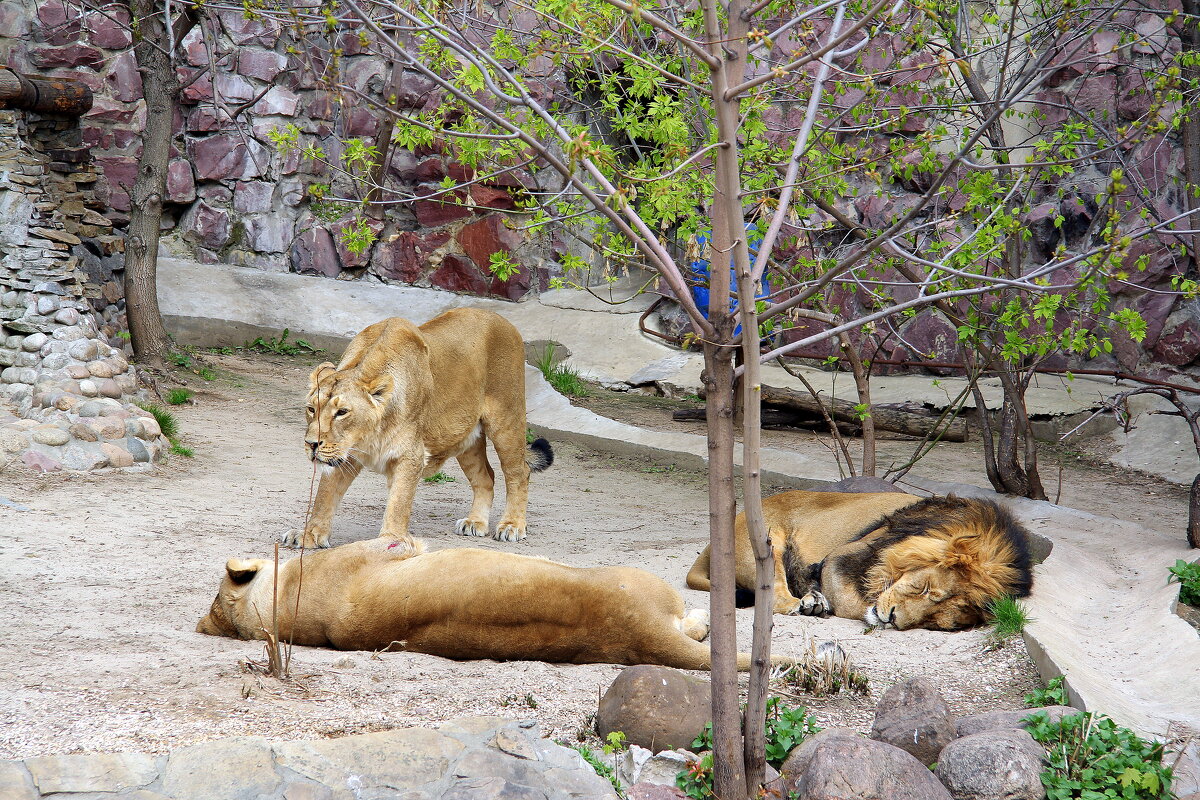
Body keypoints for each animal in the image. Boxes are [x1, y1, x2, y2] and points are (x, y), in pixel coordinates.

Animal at [285, 309, 552, 554]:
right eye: (311, 409)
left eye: (342, 412)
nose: (311, 444)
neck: (367, 436)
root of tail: (500, 318)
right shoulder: (344, 455)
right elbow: (324, 495)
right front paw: (310, 534)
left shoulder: (410, 455)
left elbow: (398, 502)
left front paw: (390, 540)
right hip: (465, 438)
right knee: (486, 477)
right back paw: (475, 522)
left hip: (506, 421)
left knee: (519, 473)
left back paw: (512, 525)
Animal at [691, 489, 1036, 633]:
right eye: (925, 588)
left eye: (937, 623)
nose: (892, 619)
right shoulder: (839, 558)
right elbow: (851, 602)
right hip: (767, 542)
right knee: (773, 595)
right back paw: (805, 603)